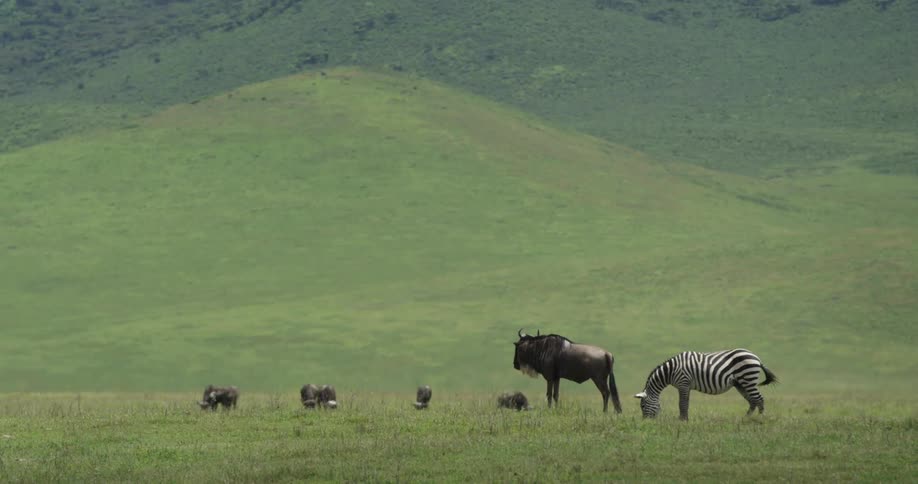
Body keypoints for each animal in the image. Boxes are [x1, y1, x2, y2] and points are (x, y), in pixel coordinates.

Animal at [634, 349, 778, 420]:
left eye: (643, 406)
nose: (646, 423)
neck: (671, 371)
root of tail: (756, 357)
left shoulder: (683, 383)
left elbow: (682, 404)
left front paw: (682, 420)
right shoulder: (686, 386)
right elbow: (685, 403)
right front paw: (684, 419)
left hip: (748, 378)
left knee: (759, 399)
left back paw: (760, 419)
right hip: (741, 383)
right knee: (752, 400)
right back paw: (745, 419)